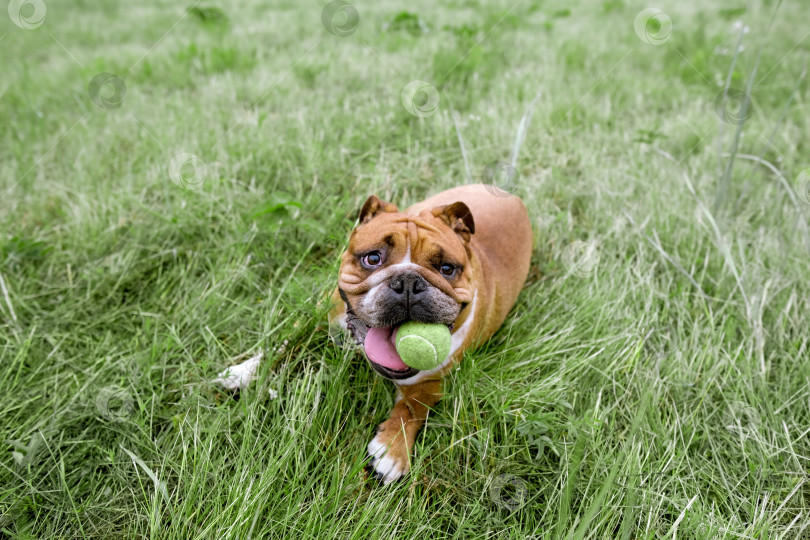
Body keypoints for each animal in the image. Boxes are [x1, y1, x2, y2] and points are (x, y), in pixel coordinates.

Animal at [328, 184, 532, 484]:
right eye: (373, 258)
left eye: (446, 268)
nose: (409, 282)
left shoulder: (430, 386)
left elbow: (411, 410)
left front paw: (393, 449)